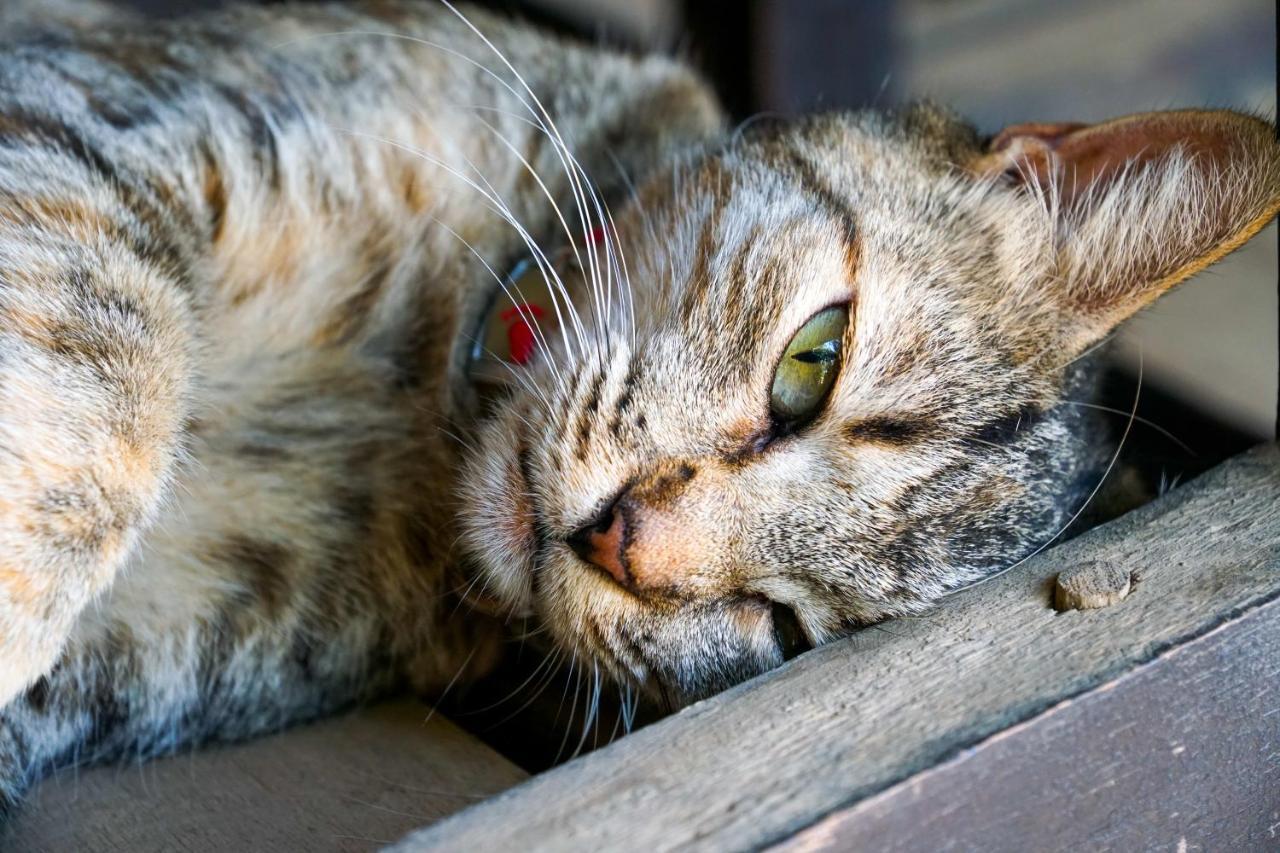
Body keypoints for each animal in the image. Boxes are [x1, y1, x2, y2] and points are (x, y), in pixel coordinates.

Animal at [0, 0, 1274, 824]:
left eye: (783, 628)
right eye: (811, 362)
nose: (622, 540)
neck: (414, 421)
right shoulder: (95, 119)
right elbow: (111, 395)